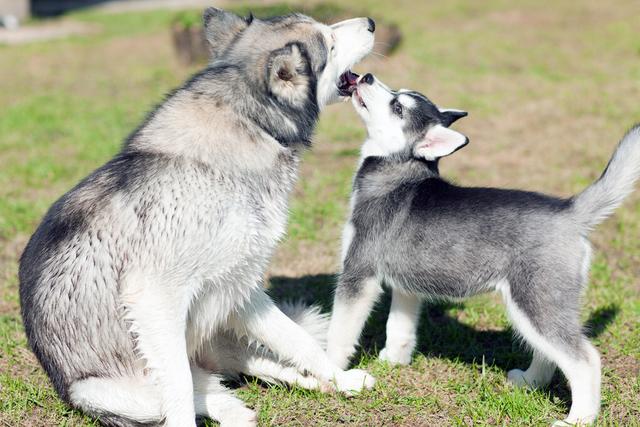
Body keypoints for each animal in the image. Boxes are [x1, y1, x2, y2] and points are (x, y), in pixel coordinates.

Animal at [18, 7, 376, 427]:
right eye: (329, 43)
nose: (371, 22)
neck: (246, 122)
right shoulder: (154, 297)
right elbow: (177, 386)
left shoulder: (239, 287)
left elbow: (296, 339)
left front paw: (336, 377)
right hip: (103, 390)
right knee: (189, 390)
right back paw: (231, 408)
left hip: (217, 333)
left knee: (248, 366)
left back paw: (316, 385)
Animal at [330, 72, 640, 424]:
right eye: (398, 91)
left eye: (397, 106)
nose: (365, 76)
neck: (398, 171)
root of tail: (569, 210)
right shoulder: (406, 283)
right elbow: (399, 328)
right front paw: (393, 361)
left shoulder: (358, 273)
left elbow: (339, 332)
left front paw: (330, 373)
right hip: (537, 304)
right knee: (551, 352)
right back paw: (530, 381)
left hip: (535, 301)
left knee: (585, 359)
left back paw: (579, 418)